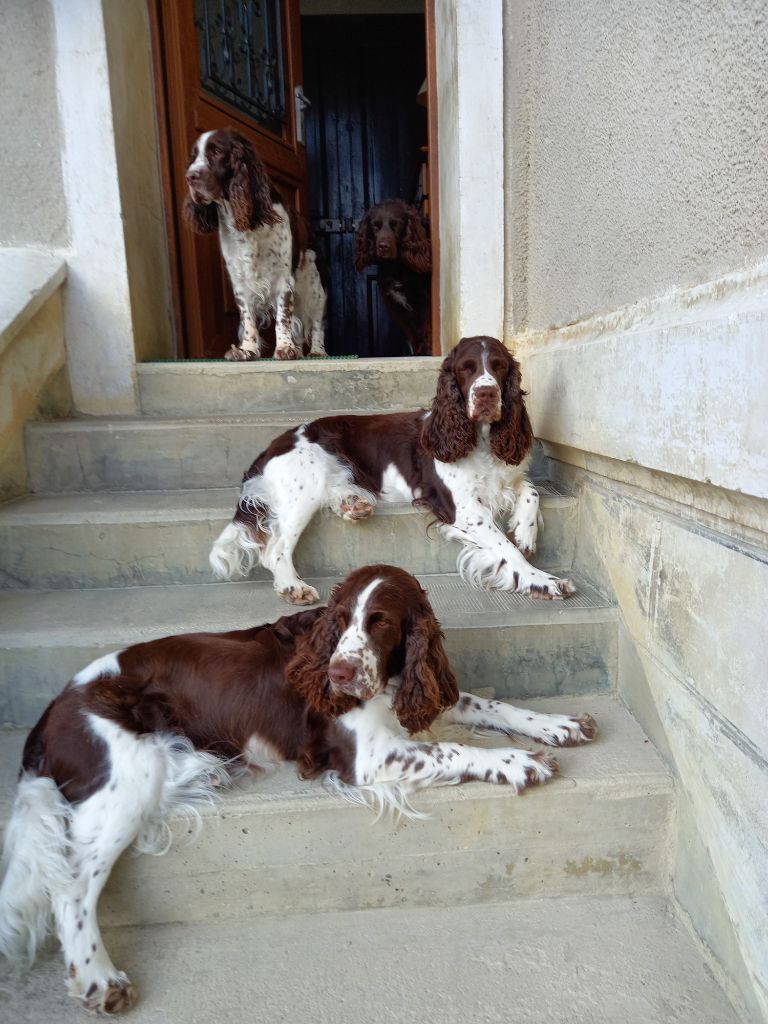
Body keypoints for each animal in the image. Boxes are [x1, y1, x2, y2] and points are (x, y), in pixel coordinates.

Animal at [0, 565, 598, 1019]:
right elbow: (457, 750)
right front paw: (519, 762)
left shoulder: (419, 695)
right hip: (125, 781)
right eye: (340, 621)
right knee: (71, 887)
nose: (339, 674)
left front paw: (557, 725)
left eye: (380, 623)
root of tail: (51, 714)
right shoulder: (367, 755)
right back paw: (99, 979)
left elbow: (483, 703)